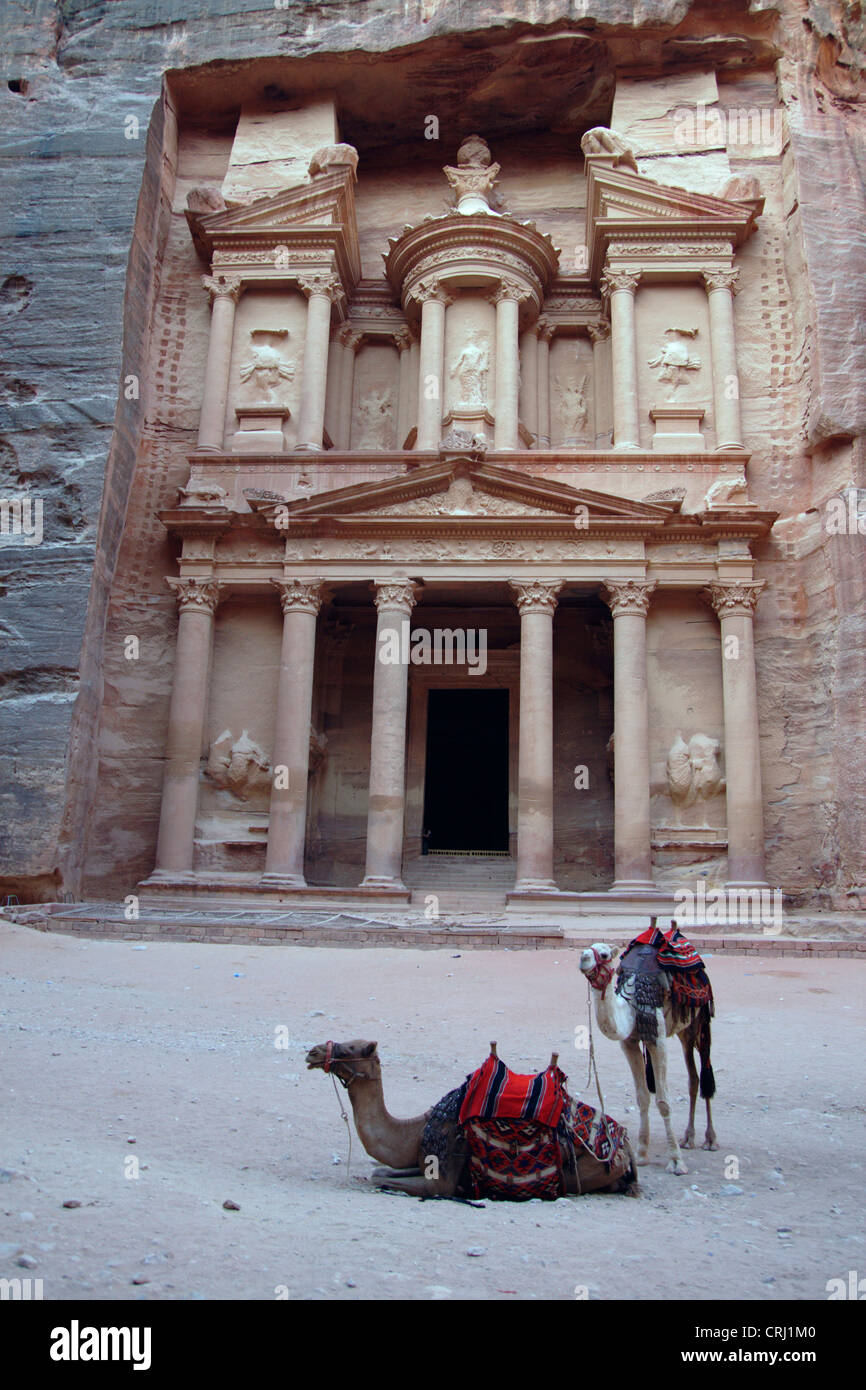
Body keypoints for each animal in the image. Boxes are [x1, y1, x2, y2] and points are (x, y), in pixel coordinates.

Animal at [304, 1039, 636, 1200]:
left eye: (350, 1048)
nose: (312, 1052)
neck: (417, 1129)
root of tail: (624, 1145)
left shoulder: (443, 1172)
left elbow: (389, 1180)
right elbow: (380, 1171)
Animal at [578, 934, 717, 1173]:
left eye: (604, 954)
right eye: (588, 948)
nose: (583, 957)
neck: (632, 1004)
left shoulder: (657, 1041)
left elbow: (663, 1100)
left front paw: (676, 1161)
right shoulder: (630, 1043)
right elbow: (642, 1096)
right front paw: (642, 1154)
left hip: (701, 1020)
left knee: (705, 1070)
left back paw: (710, 1139)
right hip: (684, 1031)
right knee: (693, 1078)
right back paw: (688, 1138)